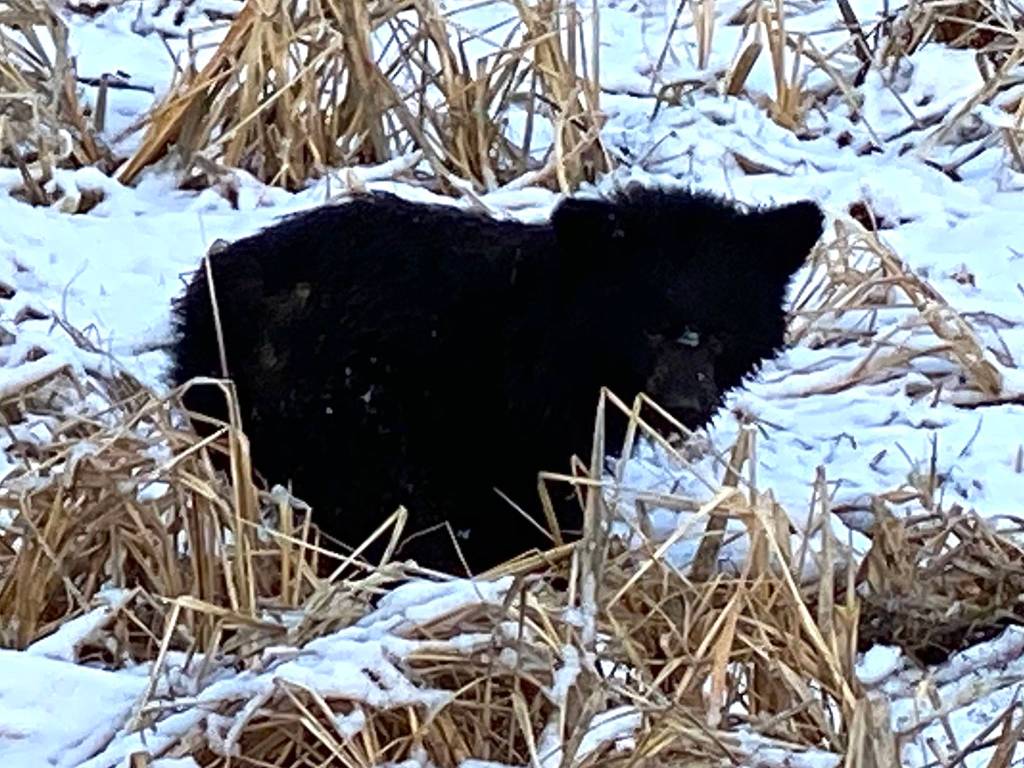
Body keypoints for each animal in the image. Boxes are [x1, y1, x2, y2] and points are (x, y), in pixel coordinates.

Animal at [168, 185, 823, 574]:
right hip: (343, 410)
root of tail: (210, 302)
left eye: (720, 331)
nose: (684, 403)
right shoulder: (511, 426)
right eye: (649, 328)